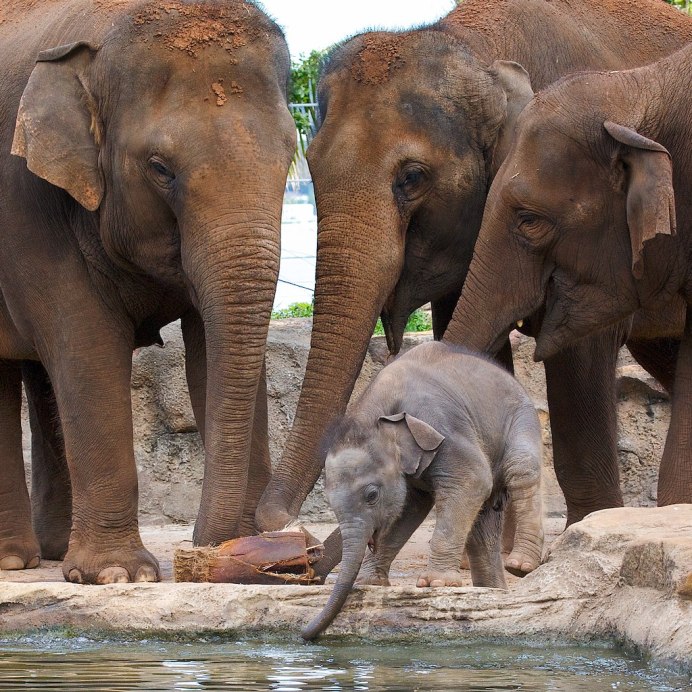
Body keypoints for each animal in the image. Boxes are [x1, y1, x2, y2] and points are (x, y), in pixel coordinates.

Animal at [0, 1, 294, 584]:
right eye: (160, 169)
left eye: (291, 154)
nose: (204, 546)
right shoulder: (29, 203)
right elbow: (87, 348)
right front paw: (119, 575)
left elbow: (209, 350)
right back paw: (13, 559)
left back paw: (49, 552)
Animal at [255, 0, 692, 548]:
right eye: (309, 167)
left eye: (412, 177)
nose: (275, 524)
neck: (474, 47)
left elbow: (579, 362)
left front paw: (580, 533)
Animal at [302, 344, 548, 640]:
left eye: (371, 495)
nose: (304, 632)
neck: (376, 413)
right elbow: (410, 509)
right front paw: (370, 582)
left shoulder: (442, 427)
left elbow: (474, 478)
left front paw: (436, 583)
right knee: (482, 527)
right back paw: (491, 592)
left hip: (521, 417)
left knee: (521, 469)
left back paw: (520, 566)